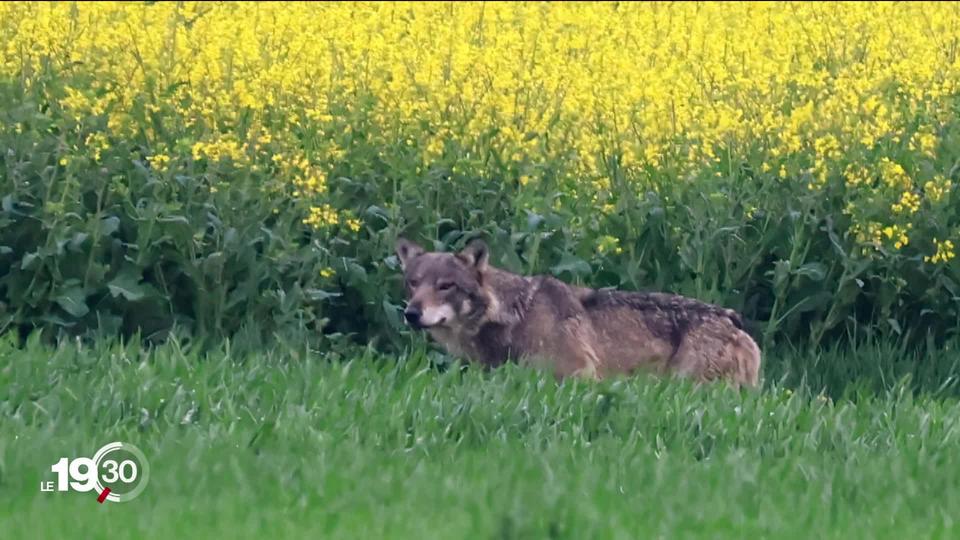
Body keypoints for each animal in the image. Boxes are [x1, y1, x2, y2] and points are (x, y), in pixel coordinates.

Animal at [394, 238, 760, 386]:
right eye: (413, 283)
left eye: (446, 286)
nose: (411, 313)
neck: (515, 315)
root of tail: (730, 318)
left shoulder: (578, 375)